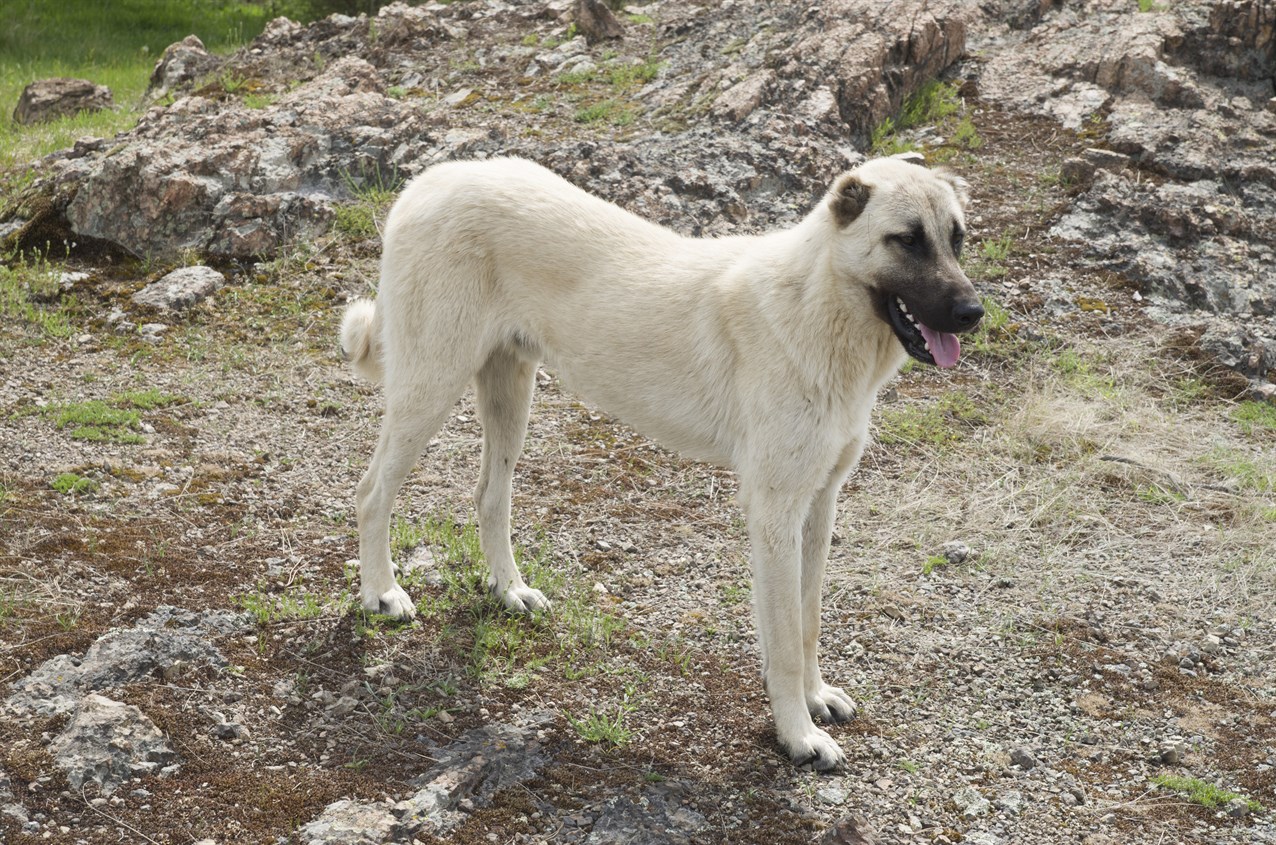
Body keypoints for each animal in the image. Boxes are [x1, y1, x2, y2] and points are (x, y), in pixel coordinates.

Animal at [336, 153, 974, 776]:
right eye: (907, 240)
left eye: (957, 238)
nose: (974, 312)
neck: (818, 305)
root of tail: (433, 178)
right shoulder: (775, 514)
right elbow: (786, 641)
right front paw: (799, 736)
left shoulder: (818, 507)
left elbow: (809, 620)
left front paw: (816, 700)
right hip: (430, 387)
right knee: (371, 493)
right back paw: (382, 593)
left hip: (510, 392)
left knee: (488, 495)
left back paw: (510, 590)